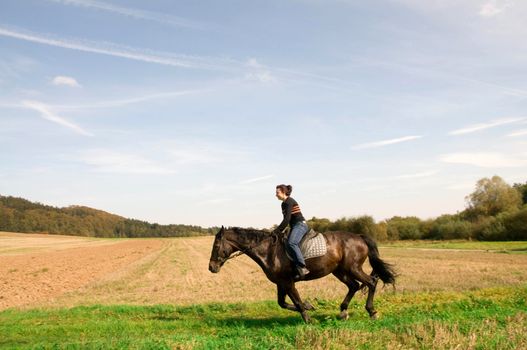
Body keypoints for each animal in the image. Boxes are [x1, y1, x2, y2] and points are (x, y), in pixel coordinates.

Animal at [209, 227, 396, 322]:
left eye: (216, 245)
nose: (211, 267)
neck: (269, 251)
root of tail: (359, 237)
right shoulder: (281, 283)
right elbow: (282, 303)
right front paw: (310, 306)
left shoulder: (288, 282)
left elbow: (296, 302)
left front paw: (308, 319)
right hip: (340, 271)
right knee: (354, 286)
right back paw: (343, 312)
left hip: (353, 268)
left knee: (371, 282)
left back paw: (372, 312)